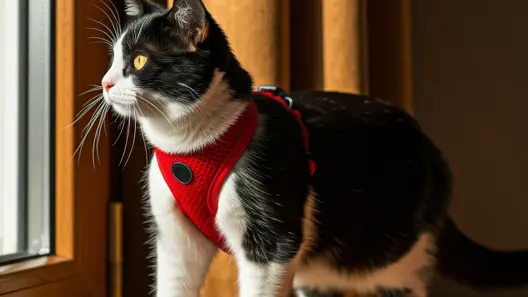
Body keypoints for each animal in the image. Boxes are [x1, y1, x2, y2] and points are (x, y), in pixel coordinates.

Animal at [99, 0, 528, 296]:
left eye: (139, 60)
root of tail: (433, 151)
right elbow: (175, 281)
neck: (192, 149)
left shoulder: (271, 239)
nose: (104, 83)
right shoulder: (176, 240)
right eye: (114, 58)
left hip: (397, 261)